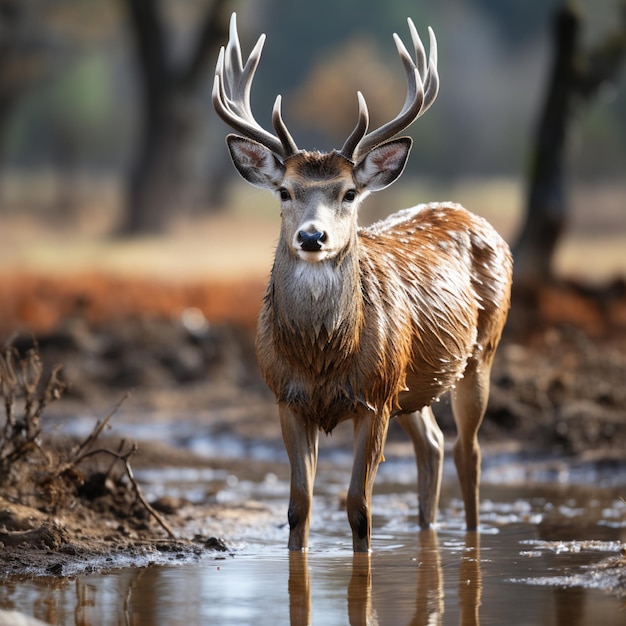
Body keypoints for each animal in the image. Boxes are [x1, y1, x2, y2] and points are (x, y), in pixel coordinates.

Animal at [212, 13, 510, 552]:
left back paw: (472, 541)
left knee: (469, 451)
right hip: (413, 380)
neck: (322, 356)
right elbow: (299, 507)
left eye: (349, 192)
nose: (313, 236)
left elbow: (359, 508)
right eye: (284, 191)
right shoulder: (286, 396)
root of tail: (474, 216)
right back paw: (427, 531)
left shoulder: (375, 397)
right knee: (434, 445)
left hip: (480, 351)